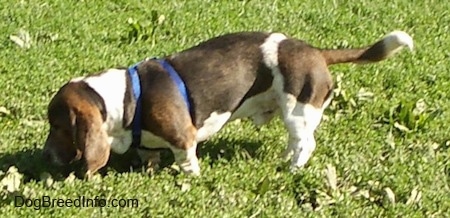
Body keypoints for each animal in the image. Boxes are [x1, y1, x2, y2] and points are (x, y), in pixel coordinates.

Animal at [42, 30, 412, 177]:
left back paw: (292, 169)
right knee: (296, 143)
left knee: (306, 144)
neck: (126, 97)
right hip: (293, 115)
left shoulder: (184, 139)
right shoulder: (147, 143)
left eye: (58, 126)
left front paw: (188, 179)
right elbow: (149, 155)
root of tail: (315, 52)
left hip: (298, 110)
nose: (46, 156)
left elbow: (187, 161)